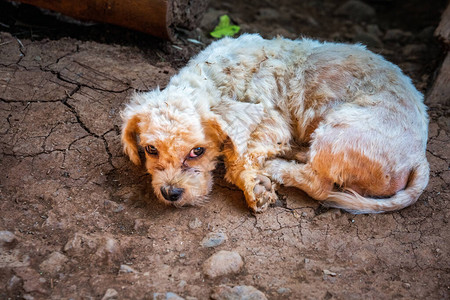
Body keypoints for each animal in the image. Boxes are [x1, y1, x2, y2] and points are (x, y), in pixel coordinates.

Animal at [120, 33, 428, 213]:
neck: (215, 76)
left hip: (337, 132)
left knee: (319, 184)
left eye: (197, 151)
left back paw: (279, 167)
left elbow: (240, 157)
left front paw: (254, 186)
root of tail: (419, 158)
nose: (170, 193)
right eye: (150, 150)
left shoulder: (271, 123)